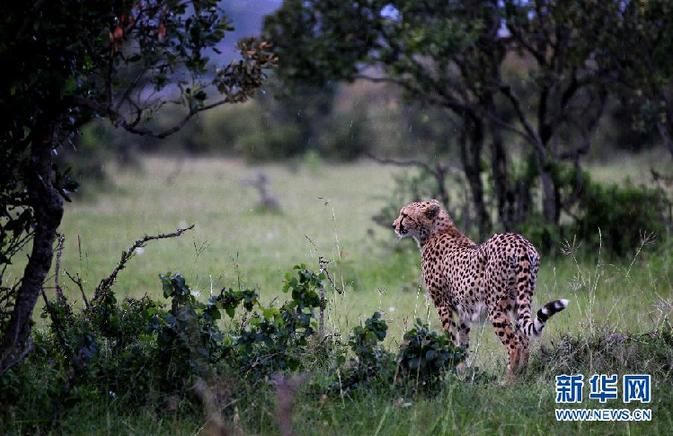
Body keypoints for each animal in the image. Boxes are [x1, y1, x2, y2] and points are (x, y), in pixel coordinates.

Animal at [394, 199, 568, 376]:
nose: (394, 225)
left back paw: (508, 379)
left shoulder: (442, 305)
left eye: (405, 215)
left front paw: (450, 371)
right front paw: (461, 373)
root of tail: (520, 243)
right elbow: (462, 343)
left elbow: (450, 339)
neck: (435, 231)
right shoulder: (463, 311)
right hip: (519, 303)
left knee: (514, 345)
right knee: (524, 340)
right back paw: (523, 375)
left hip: (496, 307)